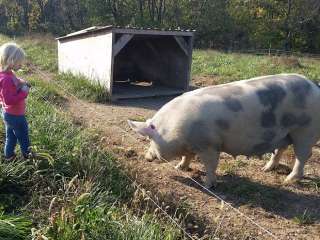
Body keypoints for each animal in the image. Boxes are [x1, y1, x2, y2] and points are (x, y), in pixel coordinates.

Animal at [128, 73, 320, 188]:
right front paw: (179, 167)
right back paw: (266, 169)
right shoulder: (193, 144)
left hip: (305, 131)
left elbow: (210, 165)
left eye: (150, 139)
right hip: (286, 133)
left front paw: (207, 185)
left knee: (303, 156)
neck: (176, 130)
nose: (147, 157)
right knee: (281, 149)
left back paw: (289, 181)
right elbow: (187, 157)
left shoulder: (209, 145)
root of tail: (314, 86)